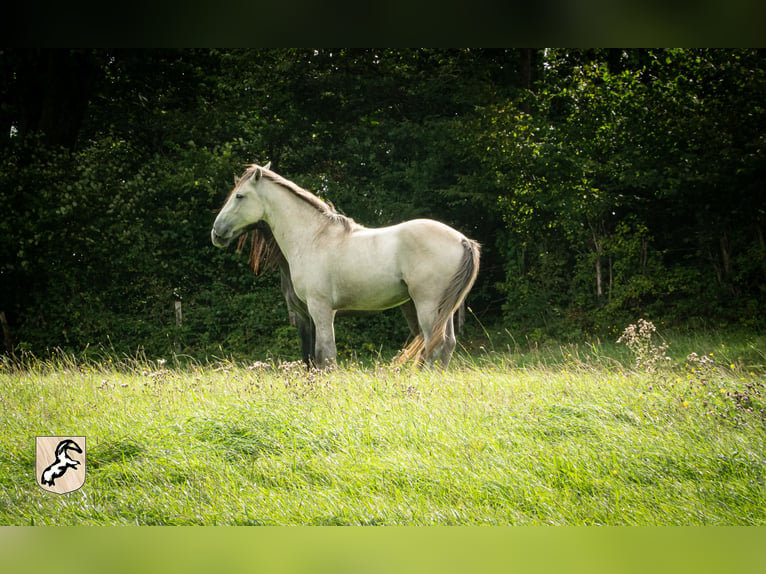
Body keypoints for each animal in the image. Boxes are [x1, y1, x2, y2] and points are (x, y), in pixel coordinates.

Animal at [213, 163, 480, 368]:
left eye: (239, 196)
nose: (216, 232)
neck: (313, 237)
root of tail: (463, 240)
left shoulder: (320, 308)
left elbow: (324, 355)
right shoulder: (307, 314)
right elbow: (311, 357)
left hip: (428, 305)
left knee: (436, 343)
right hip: (445, 308)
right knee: (447, 345)